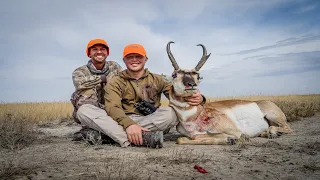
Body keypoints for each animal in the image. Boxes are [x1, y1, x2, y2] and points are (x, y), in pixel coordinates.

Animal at [162, 41, 292, 145]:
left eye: (197, 76)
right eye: (174, 75)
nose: (191, 85)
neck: (195, 115)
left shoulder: (235, 131)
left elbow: (201, 136)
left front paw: (230, 139)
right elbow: (181, 139)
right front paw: (229, 139)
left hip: (274, 117)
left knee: (286, 128)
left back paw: (272, 133)